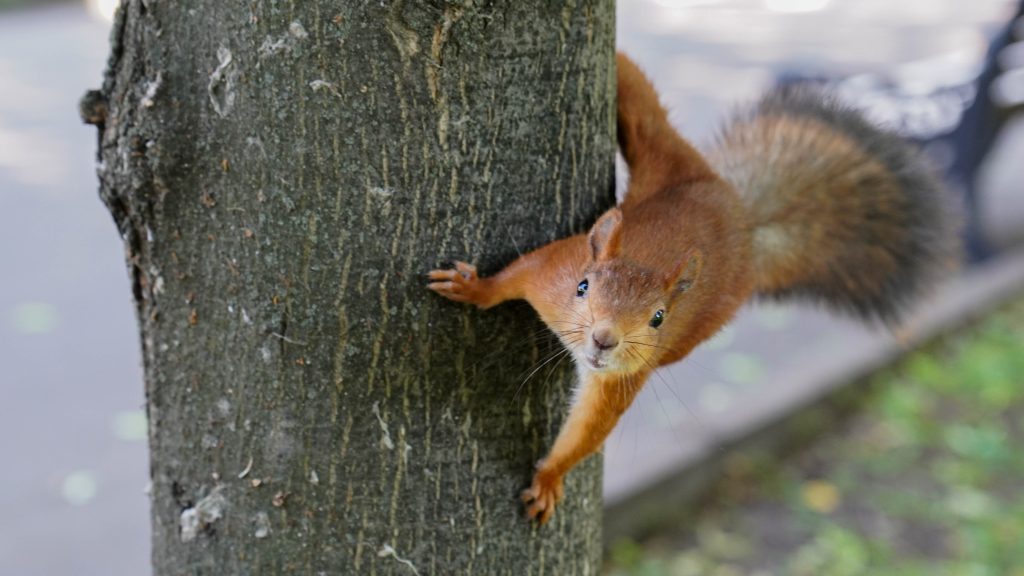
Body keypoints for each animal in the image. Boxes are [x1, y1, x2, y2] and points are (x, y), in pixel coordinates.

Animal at [428, 51, 954, 522]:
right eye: (582, 287)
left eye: (658, 318)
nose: (604, 339)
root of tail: (743, 221)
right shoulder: (552, 273)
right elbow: (514, 275)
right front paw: (475, 289)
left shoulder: (626, 373)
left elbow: (590, 427)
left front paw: (550, 477)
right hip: (669, 159)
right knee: (646, 115)